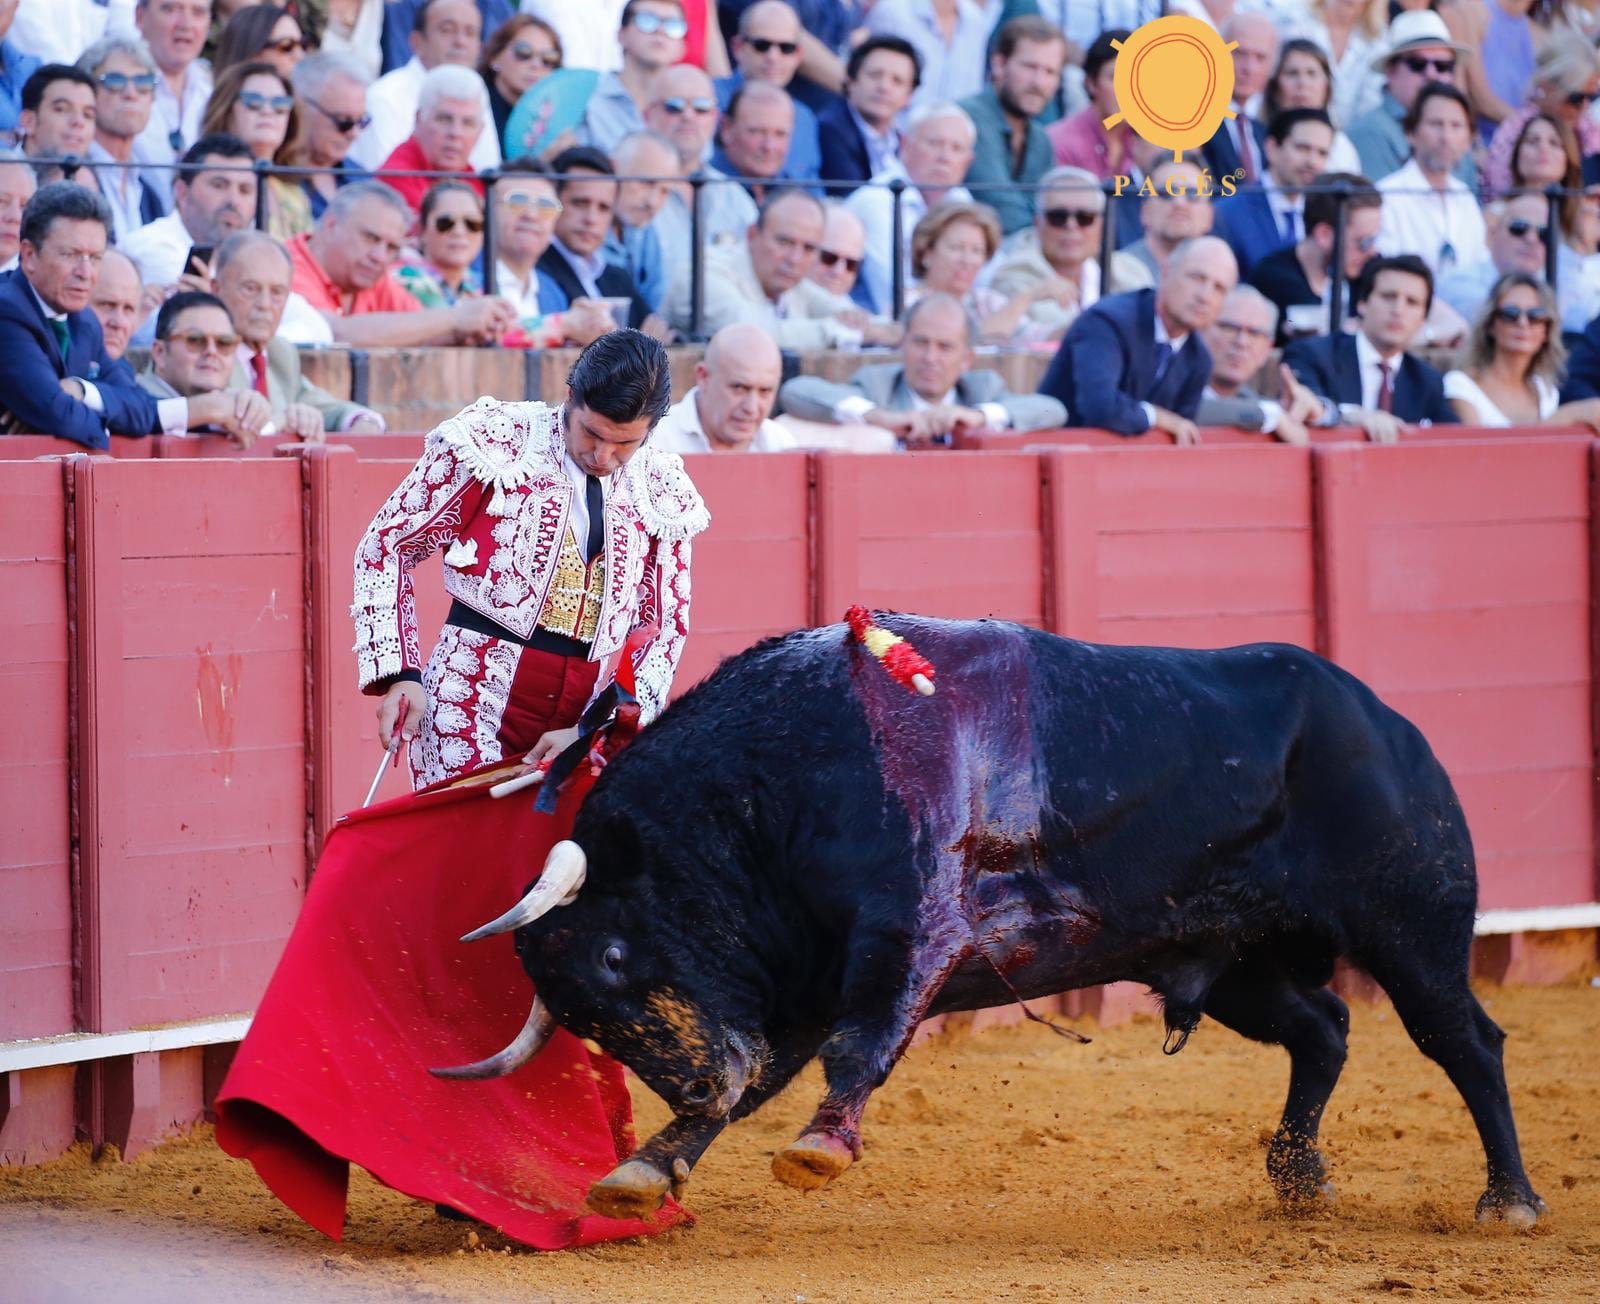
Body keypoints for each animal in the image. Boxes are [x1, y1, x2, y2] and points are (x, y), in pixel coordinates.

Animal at [444, 617, 1542, 1228]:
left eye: (616, 953)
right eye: (577, 1016)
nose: (700, 1078)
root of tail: (1384, 718)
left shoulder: (911, 933)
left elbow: (859, 1046)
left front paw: (817, 1150)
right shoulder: (786, 986)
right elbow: (763, 1076)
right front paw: (640, 1171)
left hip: (1410, 926)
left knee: (1464, 1041)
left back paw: (1508, 1202)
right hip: (1231, 959)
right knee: (1324, 1028)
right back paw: (1300, 1179)